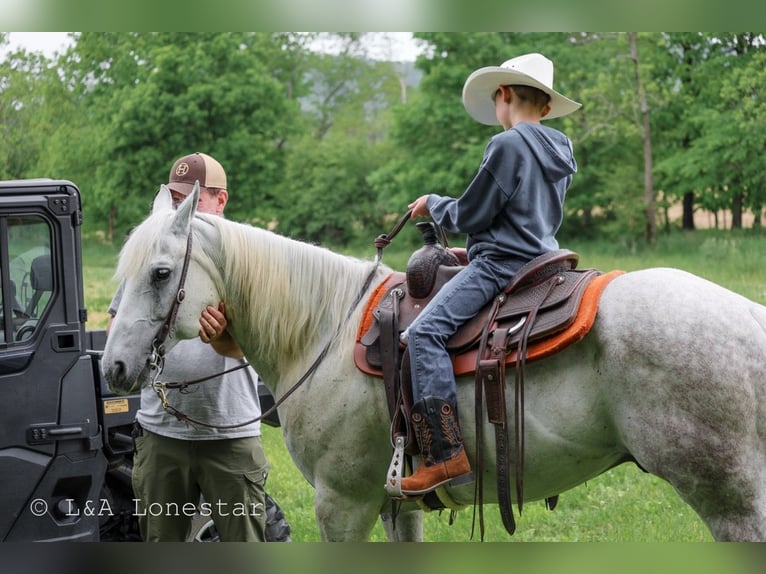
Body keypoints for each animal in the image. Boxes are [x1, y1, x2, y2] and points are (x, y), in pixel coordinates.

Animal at [102, 184, 766, 541]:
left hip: (731, 504)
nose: (111, 368)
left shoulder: (342, 504)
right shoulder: (395, 504)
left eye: (160, 273)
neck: (322, 331)